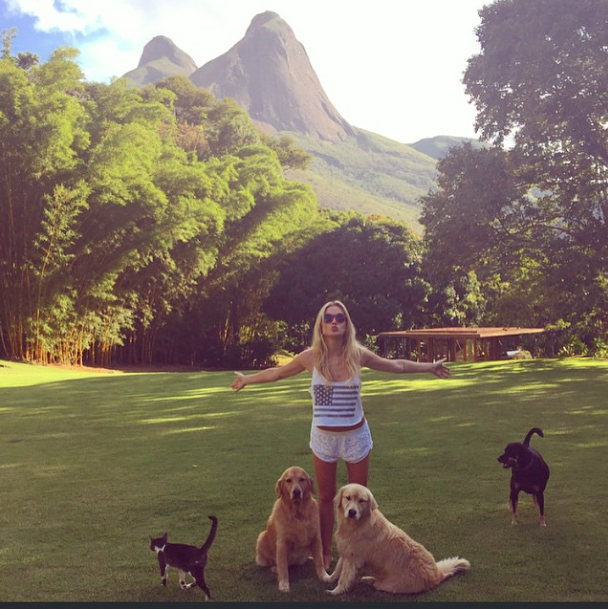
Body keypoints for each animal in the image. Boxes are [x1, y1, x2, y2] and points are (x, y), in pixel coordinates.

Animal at [327, 483, 470, 595]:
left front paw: (335, 591)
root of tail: (437, 574)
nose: (352, 512)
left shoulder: (352, 559)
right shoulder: (345, 553)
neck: (356, 524)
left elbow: (344, 578)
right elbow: (337, 570)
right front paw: (329, 579)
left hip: (388, 585)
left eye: (361, 501)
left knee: (378, 584)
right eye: (348, 498)